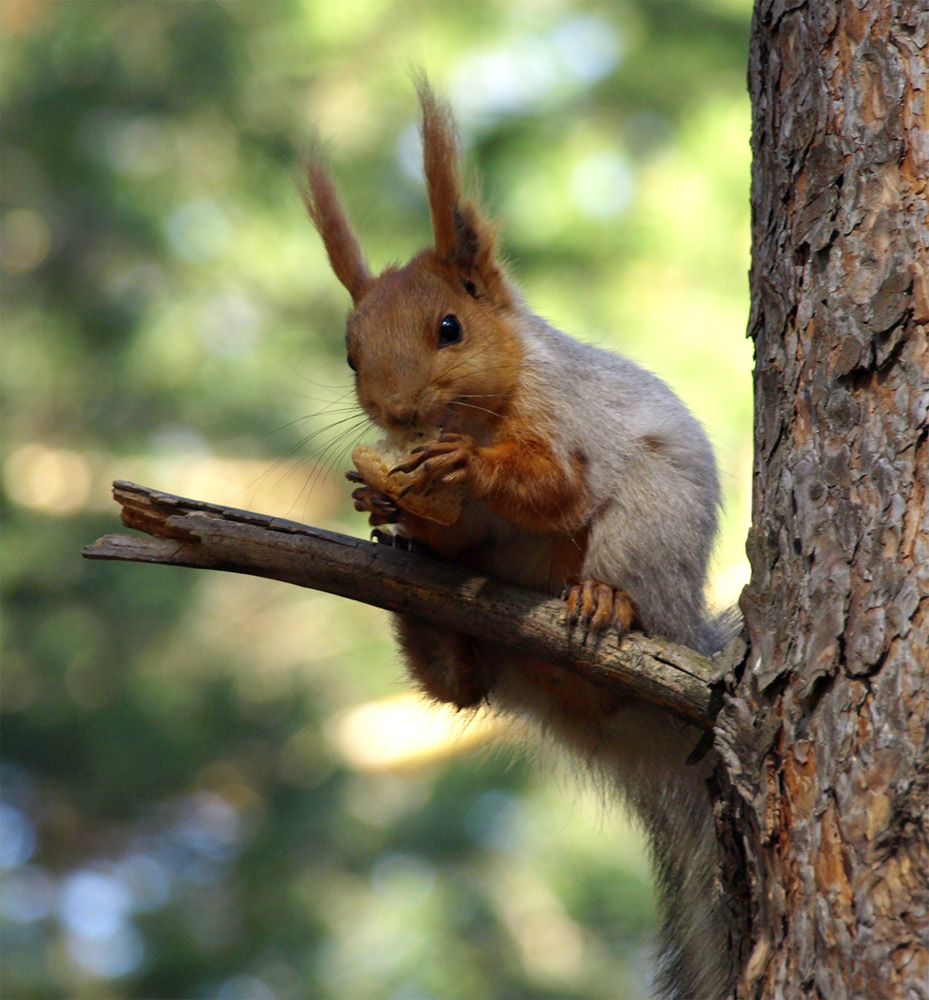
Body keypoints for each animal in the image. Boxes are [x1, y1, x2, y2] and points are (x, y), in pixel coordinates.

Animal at [304, 80, 732, 1000]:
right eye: (349, 354)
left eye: (450, 327)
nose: (396, 412)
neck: (479, 413)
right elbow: (451, 526)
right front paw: (387, 499)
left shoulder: (566, 420)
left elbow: (555, 490)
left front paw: (462, 468)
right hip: (505, 665)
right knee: (461, 688)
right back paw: (421, 602)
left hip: (647, 537)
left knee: (613, 587)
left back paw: (603, 601)